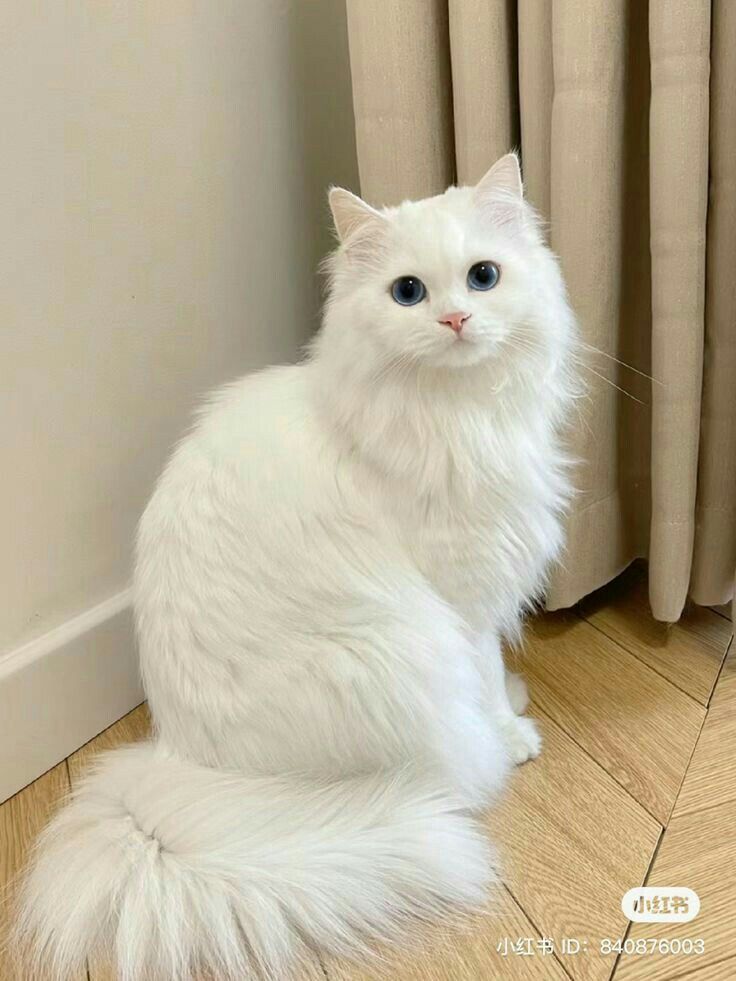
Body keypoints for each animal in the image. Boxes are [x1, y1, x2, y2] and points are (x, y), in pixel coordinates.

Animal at [15, 149, 576, 976]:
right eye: (408, 292)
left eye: (483, 276)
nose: (455, 319)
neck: (456, 413)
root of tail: (177, 769)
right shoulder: (462, 599)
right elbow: (481, 673)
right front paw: (511, 732)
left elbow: (493, 675)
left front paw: (511, 702)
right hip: (394, 652)